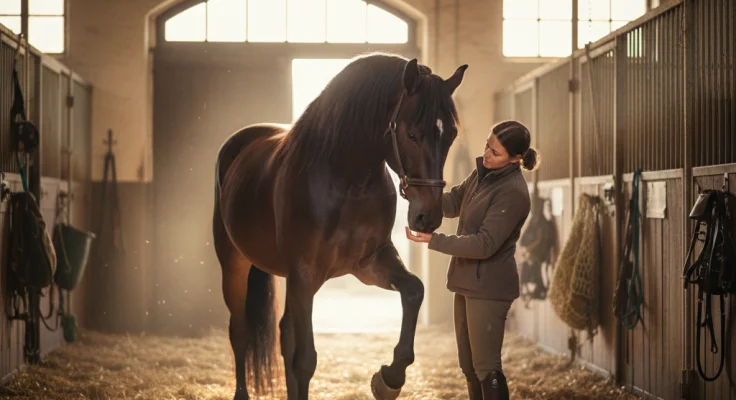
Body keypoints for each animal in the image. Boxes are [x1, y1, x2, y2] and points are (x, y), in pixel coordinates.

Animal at [212, 52, 467, 400]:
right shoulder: (305, 274)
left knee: (284, 333)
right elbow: (305, 360)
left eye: (451, 134)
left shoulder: (368, 263)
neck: (346, 182)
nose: (427, 217)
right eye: (412, 133)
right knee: (240, 332)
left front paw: (389, 378)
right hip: (236, 265)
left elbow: (415, 290)